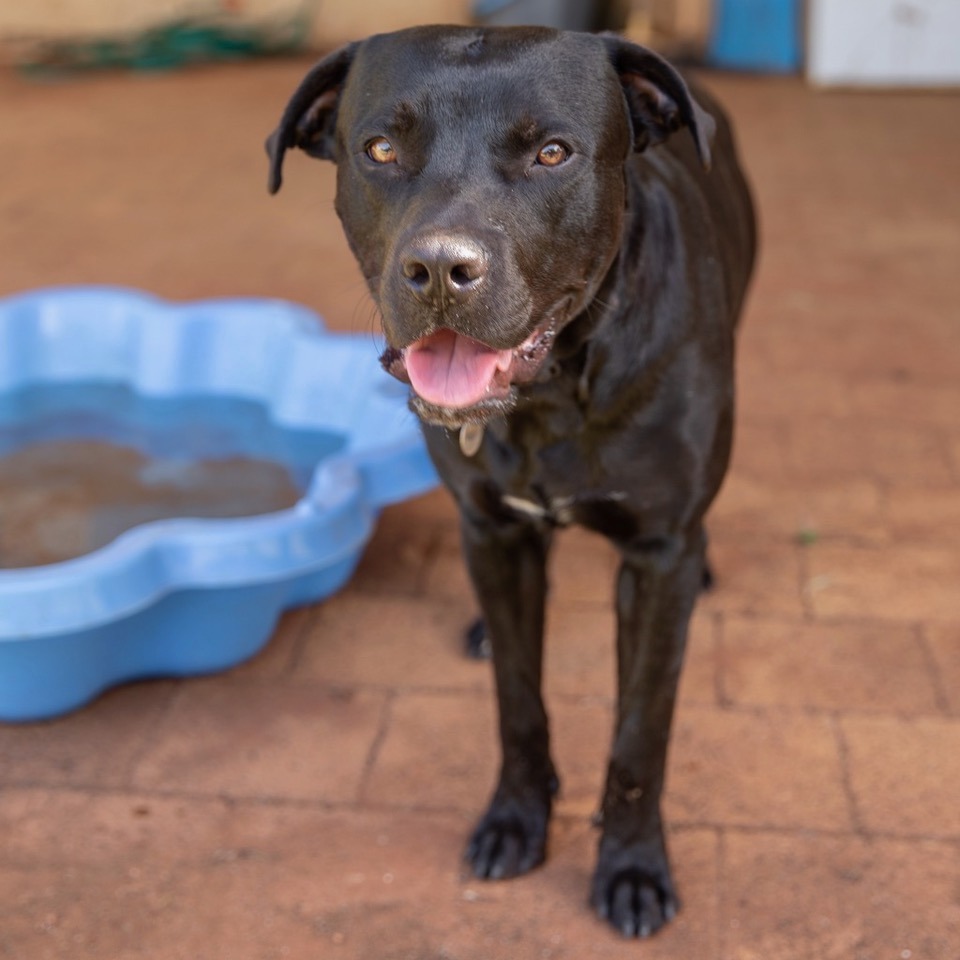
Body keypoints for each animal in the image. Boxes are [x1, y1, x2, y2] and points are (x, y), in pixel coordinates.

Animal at [267, 25, 755, 938]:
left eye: (552, 153)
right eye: (381, 149)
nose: (438, 270)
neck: (554, 392)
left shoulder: (658, 555)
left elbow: (641, 732)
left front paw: (632, 866)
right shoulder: (492, 533)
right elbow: (517, 702)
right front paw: (517, 819)